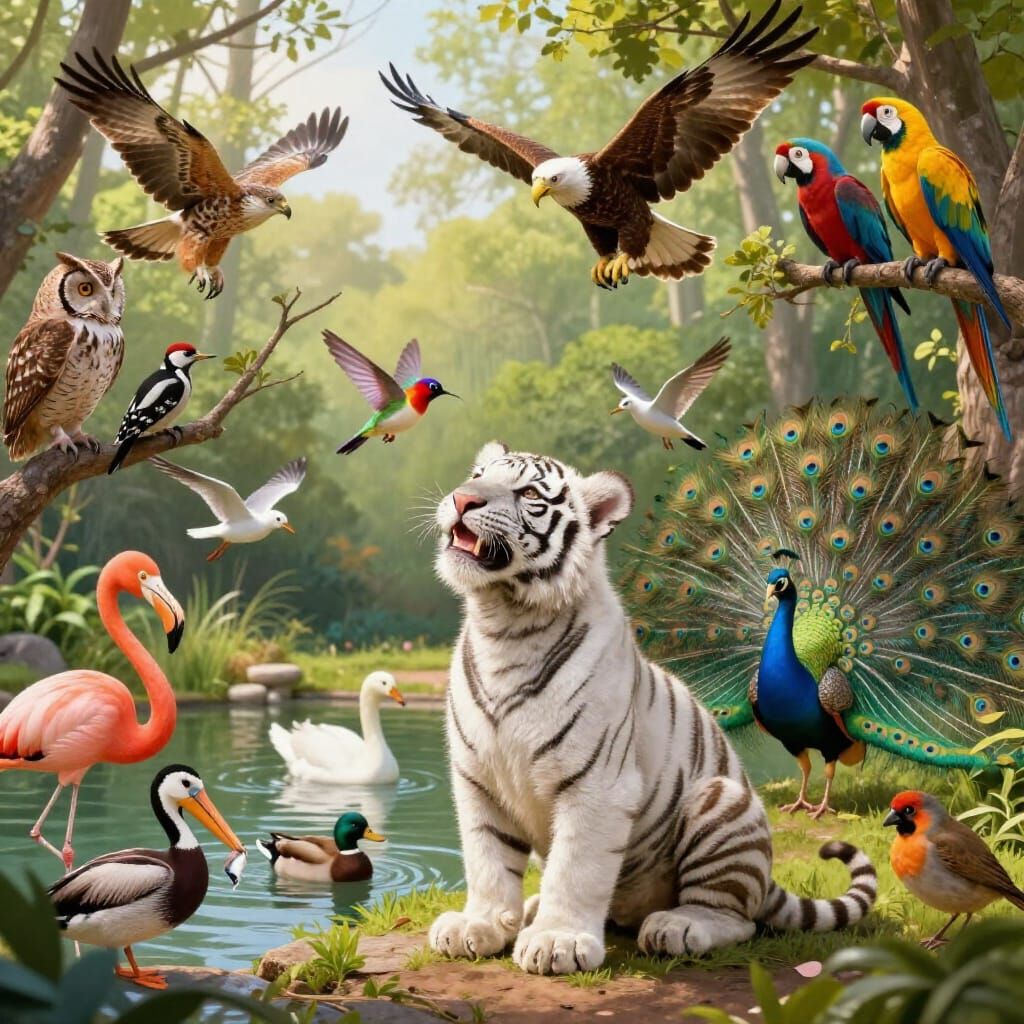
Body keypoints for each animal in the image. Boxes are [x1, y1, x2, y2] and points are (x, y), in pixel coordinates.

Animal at [429, 442, 878, 975]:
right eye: (477, 474)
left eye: (530, 494)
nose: (462, 498)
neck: (504, 624)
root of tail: (767, 879)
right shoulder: (478, 780)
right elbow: (487, 860)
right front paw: (478, 926)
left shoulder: (596, 783)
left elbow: (575, 867)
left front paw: (558, 941)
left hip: (720, 801)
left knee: (735, 917)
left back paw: (676, 927)